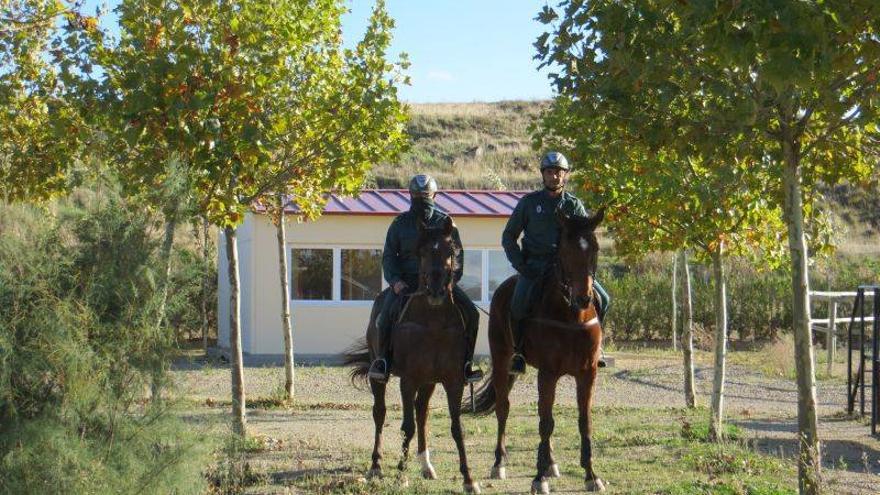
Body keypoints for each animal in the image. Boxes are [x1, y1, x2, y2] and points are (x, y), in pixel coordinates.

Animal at [344, 217, 482, 495]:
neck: (433, 322)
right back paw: (376, 466)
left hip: (429, 382)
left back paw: (426, 465)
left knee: (422, 413)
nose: (437, 291)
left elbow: (457, 428)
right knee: (380, 413)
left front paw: (468, 478)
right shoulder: (408, 381)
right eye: (423, 252)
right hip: (380, 377)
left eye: (450, 252)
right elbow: (406, 426)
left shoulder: (453, 382)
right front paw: (400, 475)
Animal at [470, 207, 608, 494]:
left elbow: (583, 421)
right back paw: (499, 463)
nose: (583, 298)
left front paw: (591, 474)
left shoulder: (587, 373)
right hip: (503, 360)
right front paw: (539, 477)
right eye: (564, 250)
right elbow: (545, 423)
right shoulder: (548, 373)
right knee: (503, 408)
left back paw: (552, 463)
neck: (571, 316)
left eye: (595, 248)